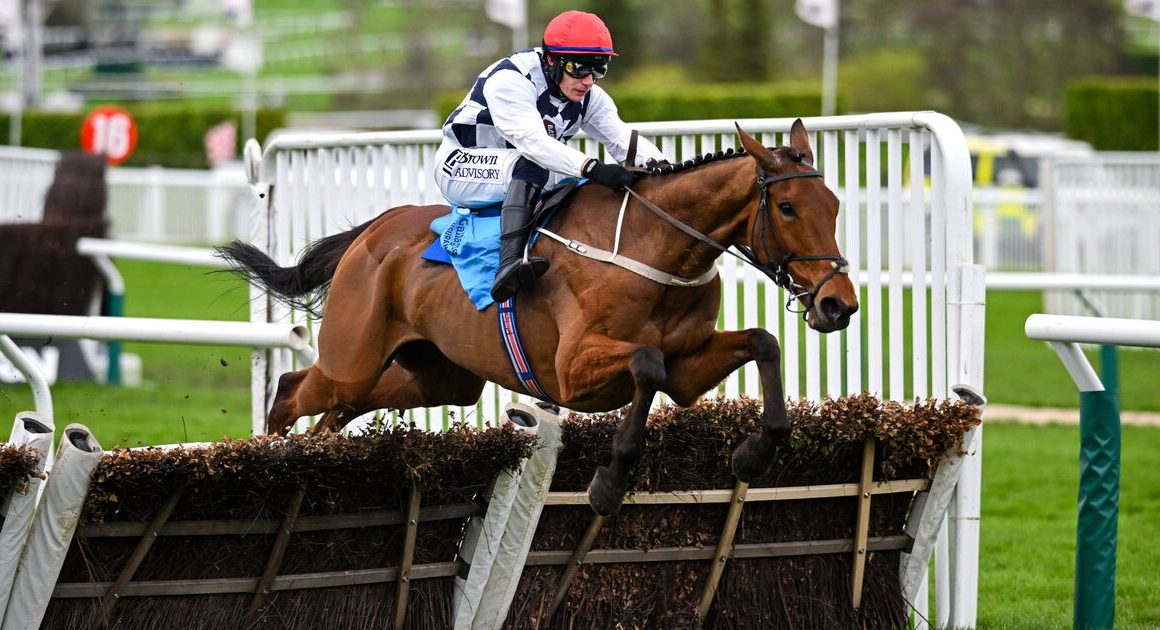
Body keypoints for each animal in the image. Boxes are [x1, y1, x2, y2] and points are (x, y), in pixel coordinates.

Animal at [218, 119, 858, 517]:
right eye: (787, 207)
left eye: (834, 205)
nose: (839, 304)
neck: (655, 248)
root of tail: (376, 228)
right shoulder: (572, 370)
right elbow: (646, 362)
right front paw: (609, 482)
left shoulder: (689, 369)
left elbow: (762, 342)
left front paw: (754, 453)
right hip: (351, 359)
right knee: (291, 389)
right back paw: (263, 462)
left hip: (436, 376)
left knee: (332, 417)